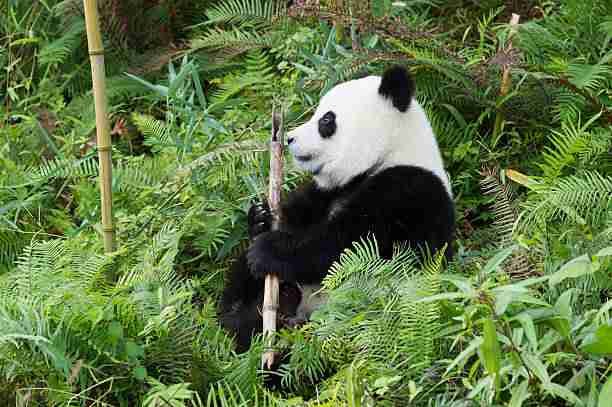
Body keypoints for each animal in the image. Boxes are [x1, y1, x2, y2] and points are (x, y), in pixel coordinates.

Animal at [220, 65, 454, 352]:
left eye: (326, 120)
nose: (289, 138)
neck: (390, 152)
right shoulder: (324, 192)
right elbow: (298, 216)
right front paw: (261, 218)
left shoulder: (409, 192)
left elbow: (348, 247)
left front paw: (269, 250)